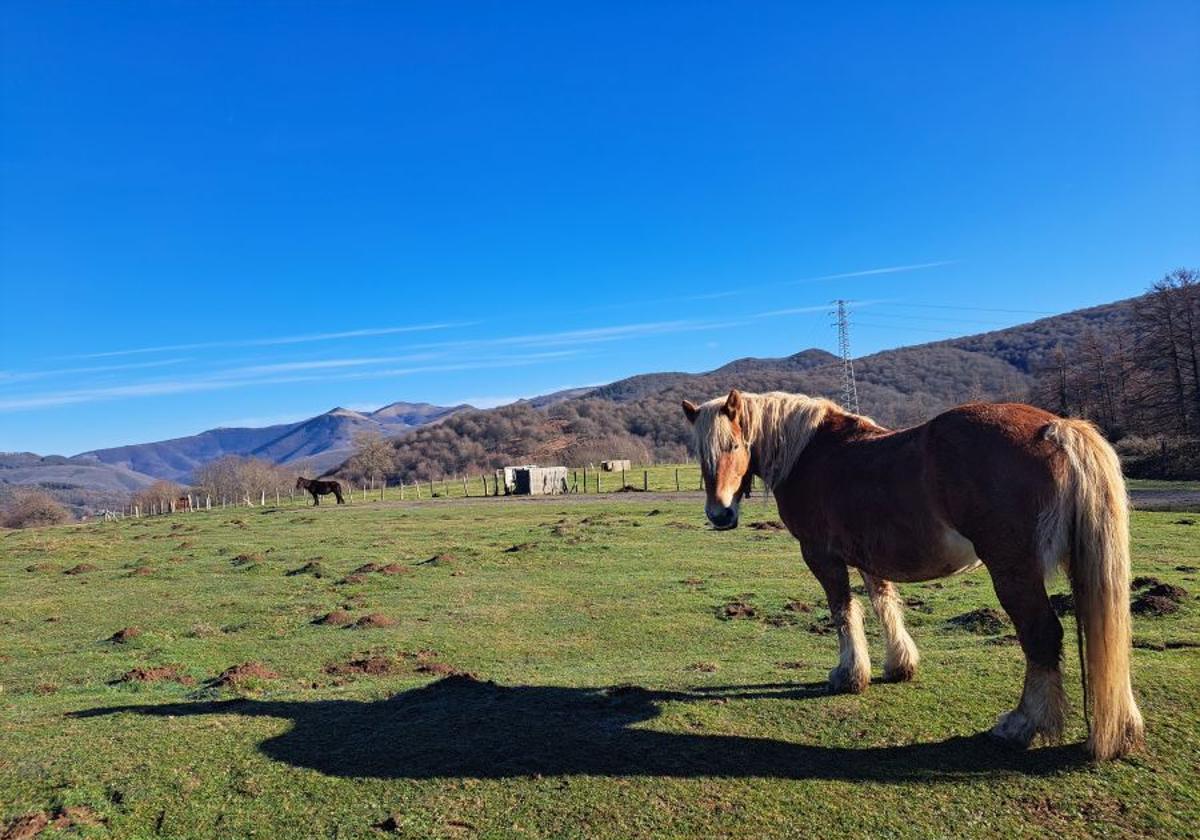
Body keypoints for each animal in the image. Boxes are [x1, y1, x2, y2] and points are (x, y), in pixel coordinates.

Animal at [686, 386, 1142, 763]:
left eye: (734, 444)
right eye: (700, 455)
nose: (720, 515)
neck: (809, 453)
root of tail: (1055, 428)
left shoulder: (822, 557)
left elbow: (843, 612)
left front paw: (849, 676)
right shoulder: (869, 557)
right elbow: (883, 603)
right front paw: (899, 665)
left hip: (1014, 572)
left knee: (1041, 636)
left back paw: (1022, 725)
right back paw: (1121, 728)